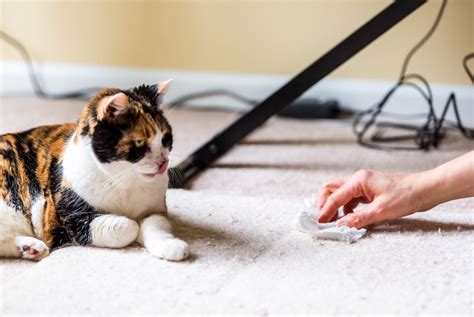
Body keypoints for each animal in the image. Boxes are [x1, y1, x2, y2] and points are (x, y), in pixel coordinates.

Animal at [0, 80, 189, 260]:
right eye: (139, 142)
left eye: (165, 138)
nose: (163, 162)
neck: (124, 181)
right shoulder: (69, 219)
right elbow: (128, 226)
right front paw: (134, 226)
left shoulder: (156, 210)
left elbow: (156, 225)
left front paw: (172, 247)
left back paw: (31, 248)